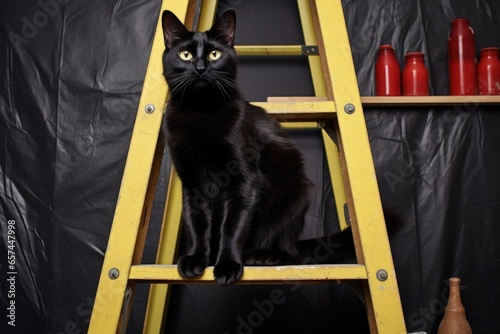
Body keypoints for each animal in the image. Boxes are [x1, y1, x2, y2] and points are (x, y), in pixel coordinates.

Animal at [162, 11, 314, 288]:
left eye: (214, 54)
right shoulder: (191, 183)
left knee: (289, 248)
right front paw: (195, 259)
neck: (200, 113)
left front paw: (227, 265)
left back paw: (265, 255)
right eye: (185, 55)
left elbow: (233, 225)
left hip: (296, 194)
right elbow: (196, 222)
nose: (200, 68)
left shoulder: (245, 180)